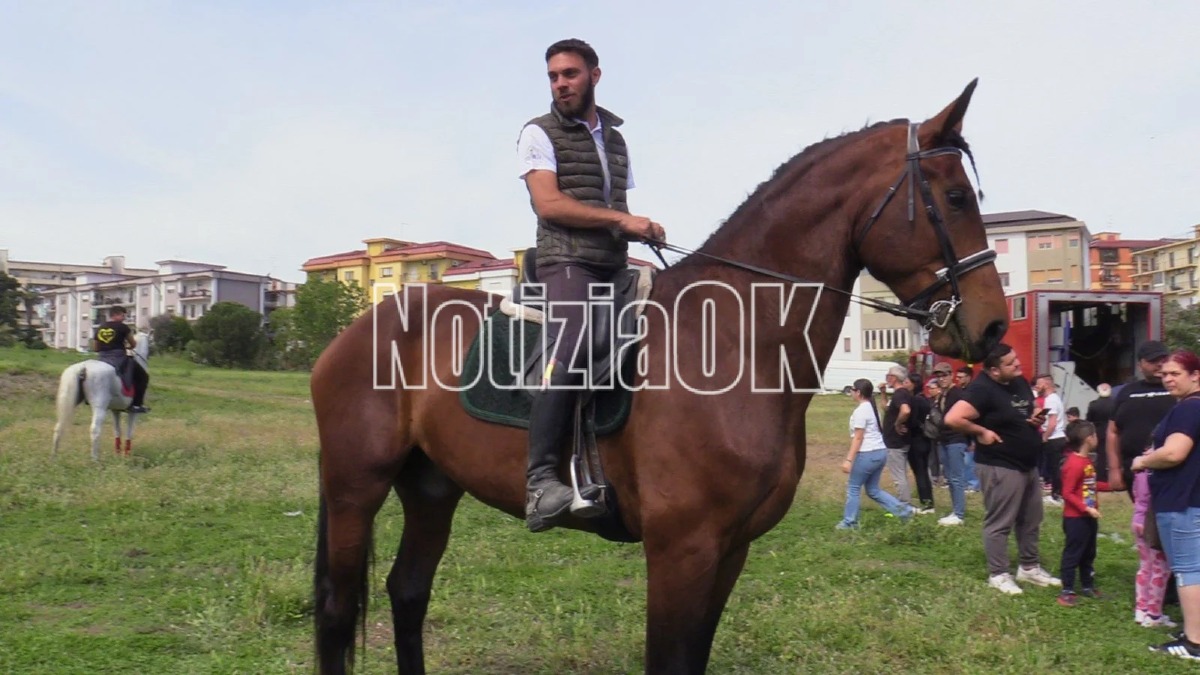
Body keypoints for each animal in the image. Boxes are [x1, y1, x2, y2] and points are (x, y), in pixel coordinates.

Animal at [52, 332, 150, 461]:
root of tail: (84, 367)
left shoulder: (115, 411)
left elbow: (117, 431)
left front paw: (117, 455)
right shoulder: (133, 412)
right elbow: (130, 432)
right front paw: (126, 456)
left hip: (70, 401)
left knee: (59, 426)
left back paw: (54, 457)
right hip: (100, 407)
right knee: (95, 430)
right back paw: (95, 459)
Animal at [311, 80, 1009, 674]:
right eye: (955, 198)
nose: (995, 327)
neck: (732, 342)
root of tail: (357, 330)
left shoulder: (730, 549)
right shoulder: (681, 550)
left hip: (432, 488)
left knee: (408, 592)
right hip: (355, 488)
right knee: (339, 610)